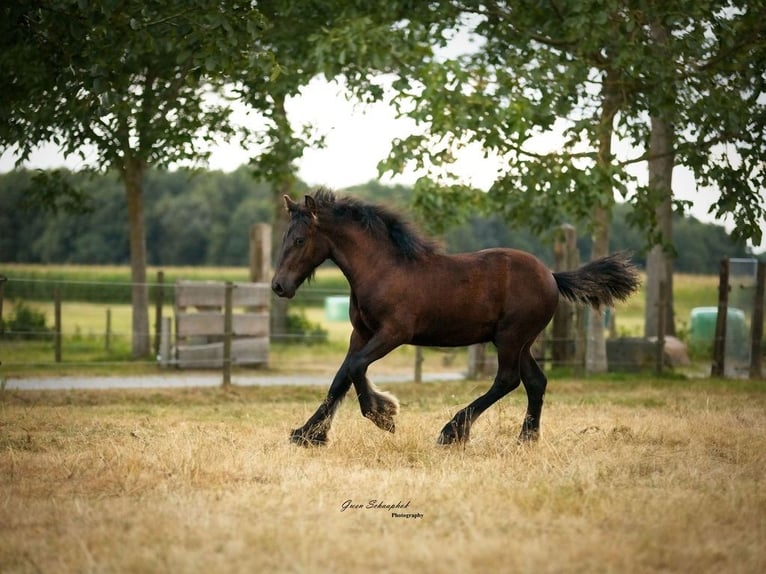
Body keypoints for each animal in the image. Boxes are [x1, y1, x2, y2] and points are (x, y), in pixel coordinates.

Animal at [271, 189, 640, 447]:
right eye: (284, 237)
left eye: (300, 239)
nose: (279, 286)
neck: (382, 270)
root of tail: (551, 275)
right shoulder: (360, 333)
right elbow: (342, 376)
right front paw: (308, 434)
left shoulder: (394, 333)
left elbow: (356, 367)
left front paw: (384, 415)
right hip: (520, 341)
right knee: (536, 381)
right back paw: (526, 439)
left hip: (510, 337)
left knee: (507, 380)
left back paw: (452, 432)